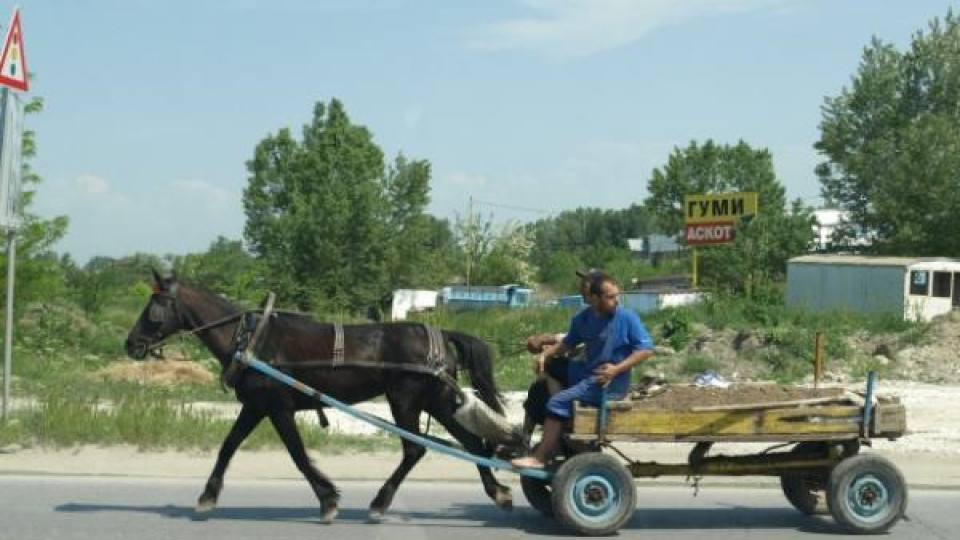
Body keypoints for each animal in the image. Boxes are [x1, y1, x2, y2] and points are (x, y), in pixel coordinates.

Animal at [127, 272, 516, 520]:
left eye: (154, 307)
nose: (131, 344)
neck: (251, 340)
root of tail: (440, 333)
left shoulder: (276, 407)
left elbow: (298, 455)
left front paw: (328, 500)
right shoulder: (256, 406)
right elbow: (228, 446)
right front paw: (208, 495)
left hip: (405, 401)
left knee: (415, 449)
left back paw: (380, 502)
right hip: (437, 400)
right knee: (472, 443)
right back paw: (497, 491)